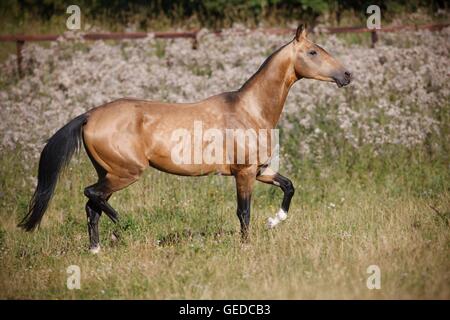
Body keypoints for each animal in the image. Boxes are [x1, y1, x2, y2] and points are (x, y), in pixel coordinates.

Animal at [19, 24, 352, 252]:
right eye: (313, 52)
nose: (347, 75)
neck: (249, 110)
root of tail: (89, 115)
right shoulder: (244, 172)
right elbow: (243, 211)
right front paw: (246, 245)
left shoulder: (261, 170)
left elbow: (289, 187)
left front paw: (273, 221)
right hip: (126, 172)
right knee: (93, 196)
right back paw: (124, 225)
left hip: (110, 172)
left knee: (92, 206)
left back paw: (96, 250)